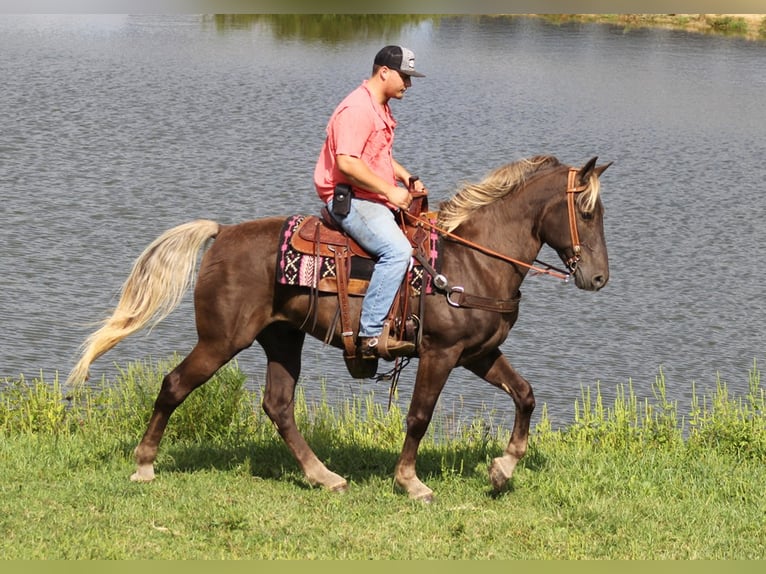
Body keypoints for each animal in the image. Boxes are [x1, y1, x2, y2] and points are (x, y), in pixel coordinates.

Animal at [69, 155, 616, 502]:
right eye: (587, 211)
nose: (598, 277)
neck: (471, 262)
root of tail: (221, 234)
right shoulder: (440, 353)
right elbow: (419, 417)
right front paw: (410, 482)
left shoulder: (478, 353)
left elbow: (525, 395)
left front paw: (503, 470)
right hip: (221, 340)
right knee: (175, 384)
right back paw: (145, 464)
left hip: (281, 338)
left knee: (278, 405)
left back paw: (323, 476)